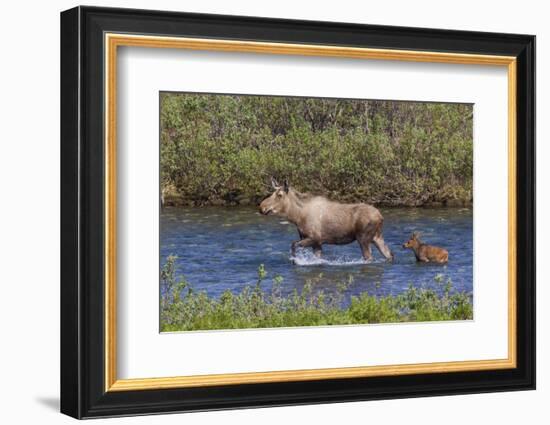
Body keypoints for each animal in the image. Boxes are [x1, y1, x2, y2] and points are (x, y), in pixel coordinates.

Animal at [260, 177, 394, 260]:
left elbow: (293, 245)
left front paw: (295, 260)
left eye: (279, 195)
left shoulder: (314, 238)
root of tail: (381, 217)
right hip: (377, 237)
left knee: (370, 258)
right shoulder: (317, 243)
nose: (262, 207)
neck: (297, 217)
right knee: (390, 255)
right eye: (272, 193)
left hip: (363, 239)